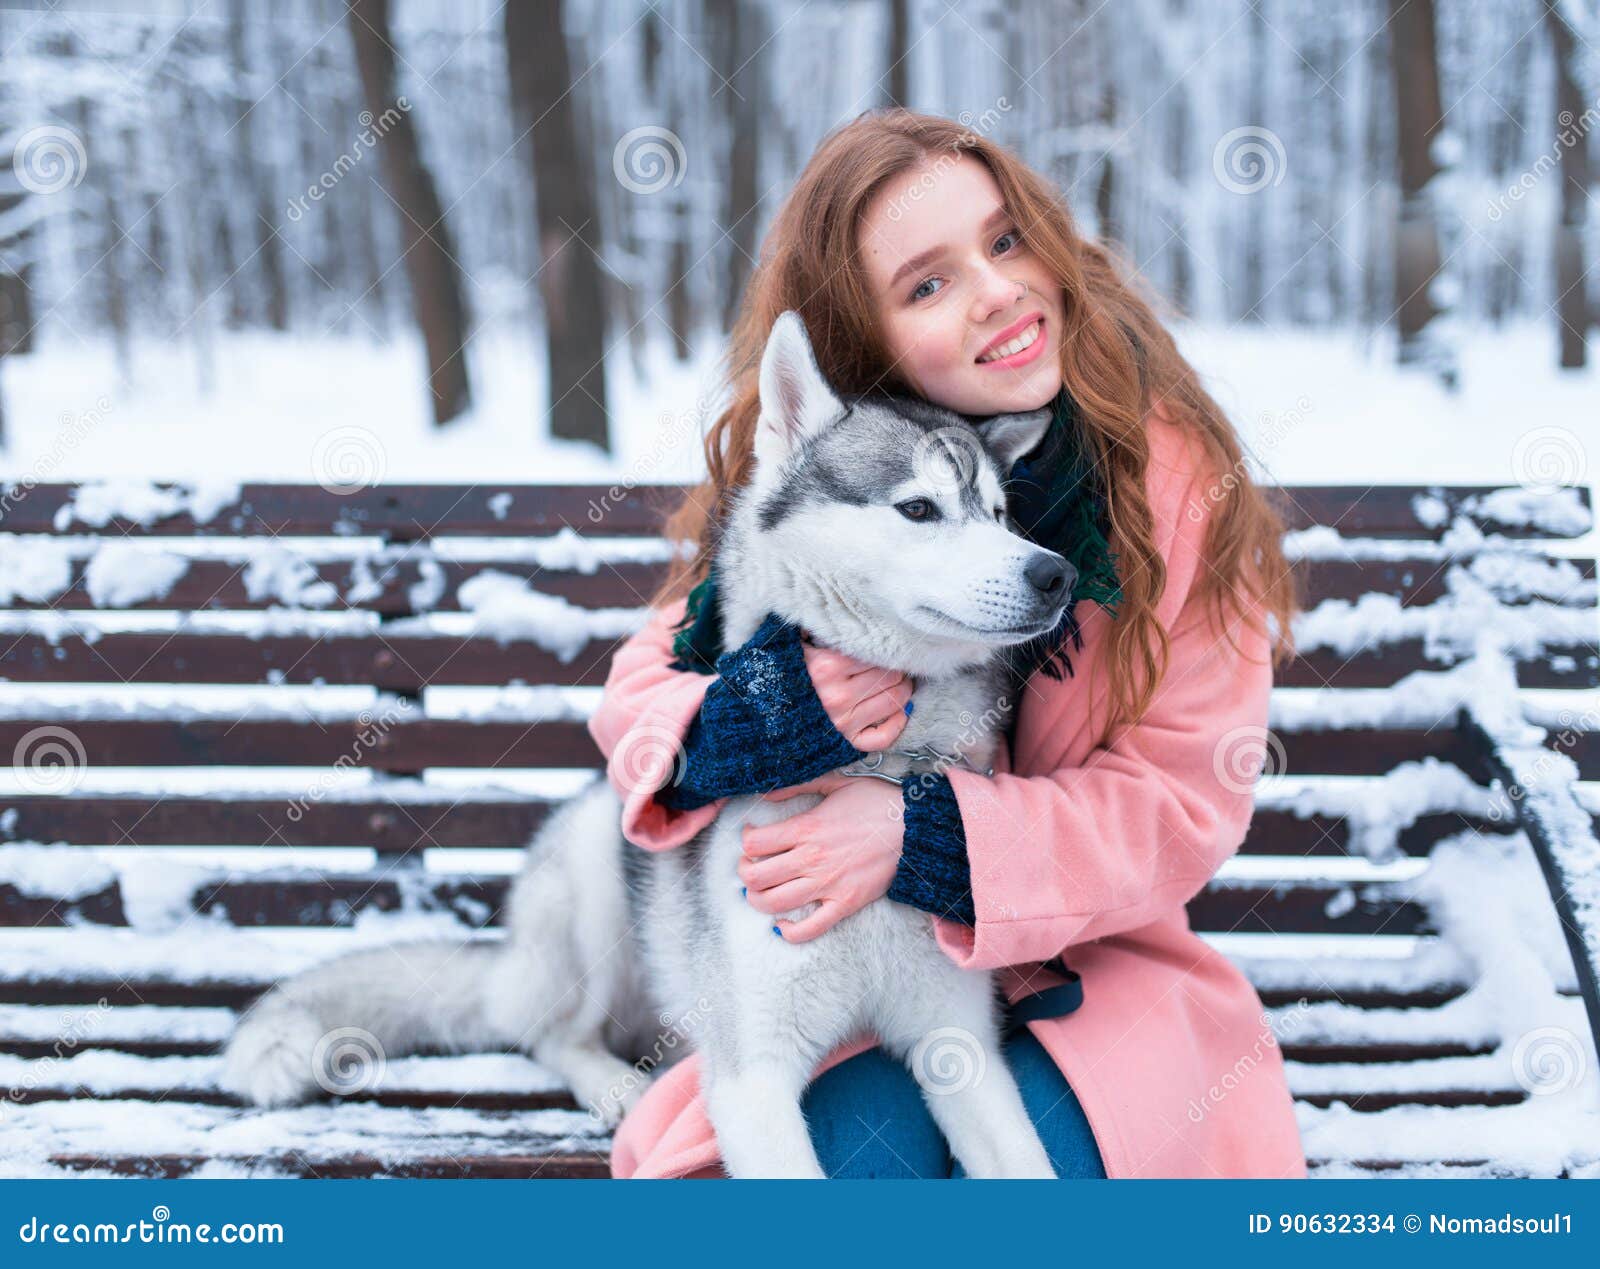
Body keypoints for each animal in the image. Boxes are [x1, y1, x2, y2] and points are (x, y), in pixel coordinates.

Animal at [222, 312, 1075, 1184]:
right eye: (919, 508)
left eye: (1000, 513)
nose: (1056, 574)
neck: (869, 769)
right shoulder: (754, 1078)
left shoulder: (961, 1047)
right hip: (600, 874)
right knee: (550, 1033)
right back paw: (614, 1084)